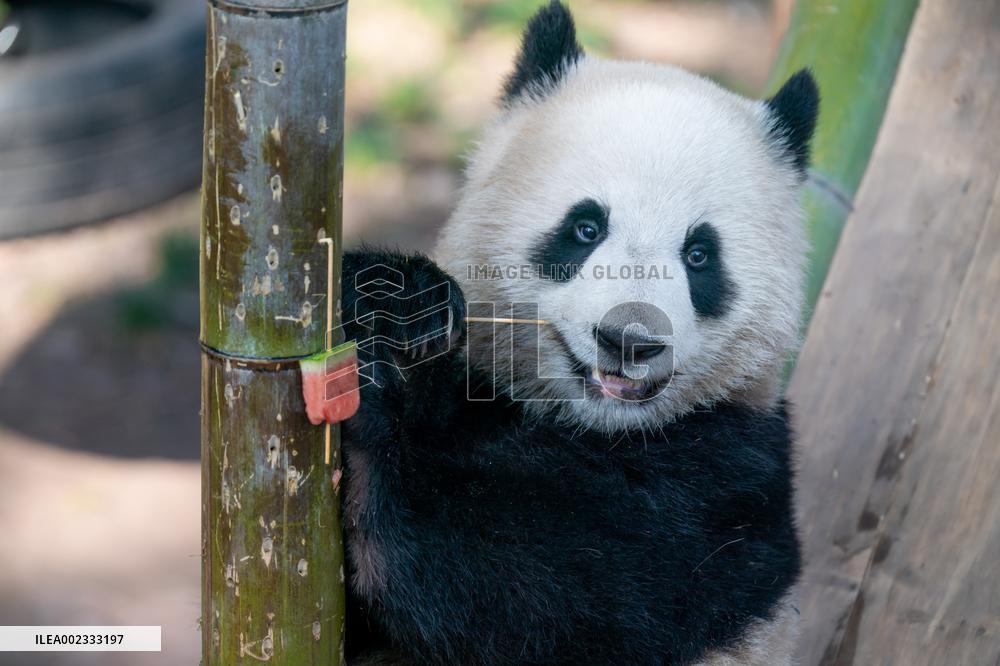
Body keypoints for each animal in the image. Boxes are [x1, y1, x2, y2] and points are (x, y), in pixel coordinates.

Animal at [339, 2, 818, 664]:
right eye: (586, 228)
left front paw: (386, 394)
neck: (593, 428)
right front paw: (392, 302)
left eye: (699, 255)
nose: (630, 341)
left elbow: (524, 589)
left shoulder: (730, 484)